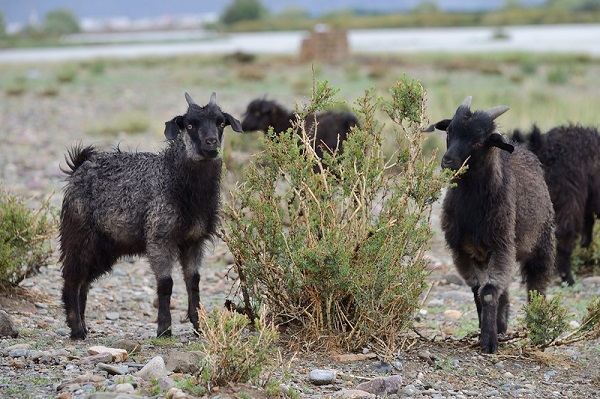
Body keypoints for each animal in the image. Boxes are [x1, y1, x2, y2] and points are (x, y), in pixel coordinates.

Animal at [58, 92, 241, 340]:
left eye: (221, 123)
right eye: (190, 124)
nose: (211, 143)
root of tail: (79, 166)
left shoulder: (194, 240)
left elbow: (193, 281)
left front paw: (199, 325)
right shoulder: (159, 237)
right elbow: (165, 283)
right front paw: (164, 328)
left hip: (106, 247)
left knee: (84, 283)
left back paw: (83, 326)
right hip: (79, 235)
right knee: (72, 279)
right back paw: (77, 329)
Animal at [428, 98, 556, 354]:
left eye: (479, 141)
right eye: (449, 131)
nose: (447, 161)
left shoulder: (502, 244)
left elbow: (487, 293)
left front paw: (489, 342)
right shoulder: (463, 250)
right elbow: (479, 290)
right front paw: (485, 332)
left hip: (542, 243)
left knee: (537, 285)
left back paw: (536, 328)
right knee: (503, 290)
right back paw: (503, 326)